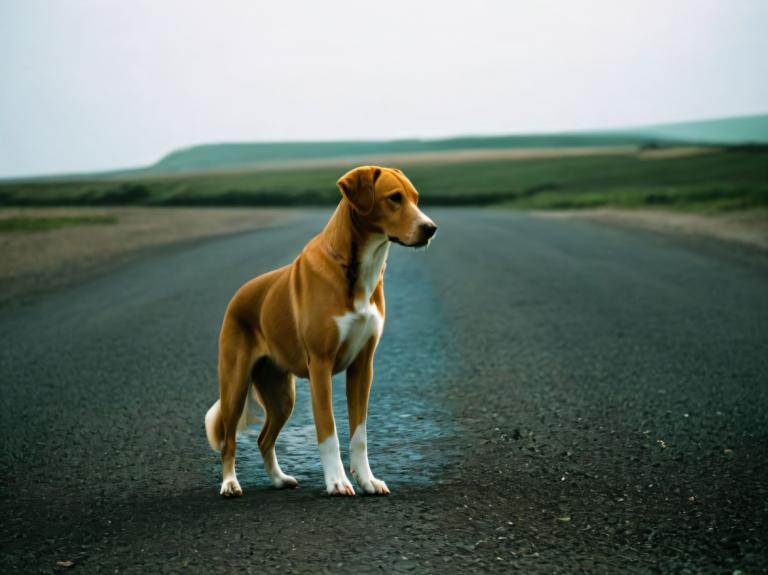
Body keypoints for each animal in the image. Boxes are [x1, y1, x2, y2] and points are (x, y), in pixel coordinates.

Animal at [206, 165, 438, 496]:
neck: (356, 270)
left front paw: (367, 479)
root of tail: (239, 294)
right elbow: (329, 432)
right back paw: (229, 483)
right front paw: (337, 482)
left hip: (282, 395)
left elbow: (359, 434)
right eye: (394, 198)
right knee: (229, 440)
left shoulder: (363, 366)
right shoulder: (320, 365)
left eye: (416, 198)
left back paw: (280, 479)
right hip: (235, 384)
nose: (430, 228)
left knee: (264, 438)